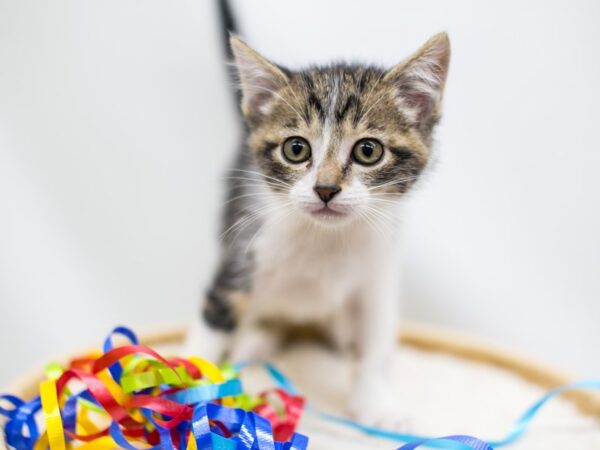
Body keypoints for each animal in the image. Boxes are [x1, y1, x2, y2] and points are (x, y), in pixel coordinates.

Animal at [188, 29, 450, 428]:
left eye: (368, 151)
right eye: (295, 149)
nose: (325, 189)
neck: (323, 239)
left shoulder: (377, 271)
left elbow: (376, 339)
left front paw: (377, 404)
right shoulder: (241, 253)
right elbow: (211, 326)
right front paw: (185, 397)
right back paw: (254, 340)